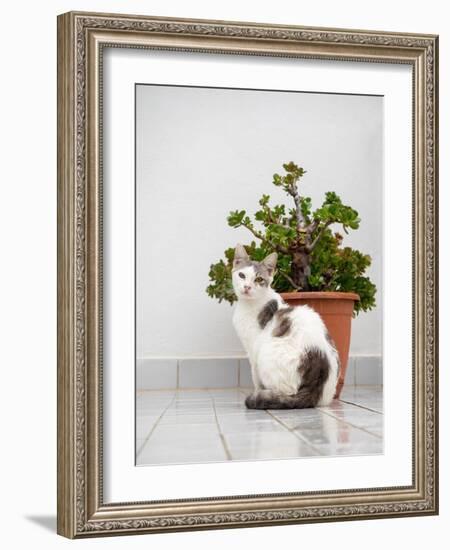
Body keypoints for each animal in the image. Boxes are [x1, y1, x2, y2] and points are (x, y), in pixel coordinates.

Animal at [230, 245, 340, 410]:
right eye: (242, 275)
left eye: (259, 279)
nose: (247, 287)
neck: (250, 304)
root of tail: (315, 389)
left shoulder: (253, 350)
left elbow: (255, 378)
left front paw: (257, 391)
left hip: (268, 355)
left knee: (287, 392)